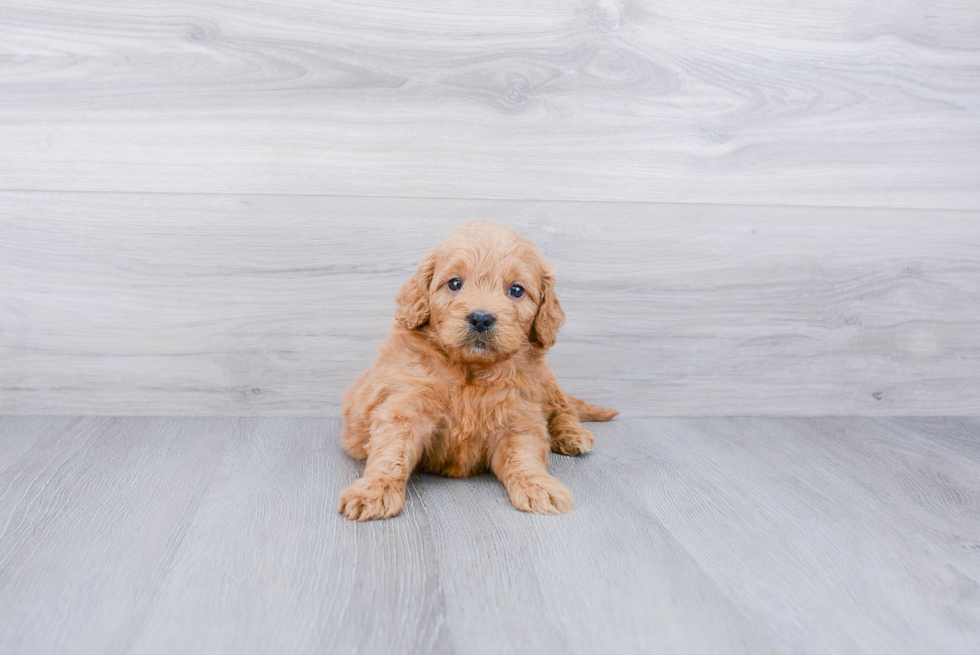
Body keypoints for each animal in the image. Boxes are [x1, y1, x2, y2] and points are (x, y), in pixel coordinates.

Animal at [340, 223, 616, 520]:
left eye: (516, 290)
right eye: (454, 283)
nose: (481, 318)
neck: (470, 371)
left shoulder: (518, 418)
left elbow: (525, 456)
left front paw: (539, 486)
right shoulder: (405, 409)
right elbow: (392, 452)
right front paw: (374, 490)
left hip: (547, 383)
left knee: (565, 408)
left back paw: (572, 434)